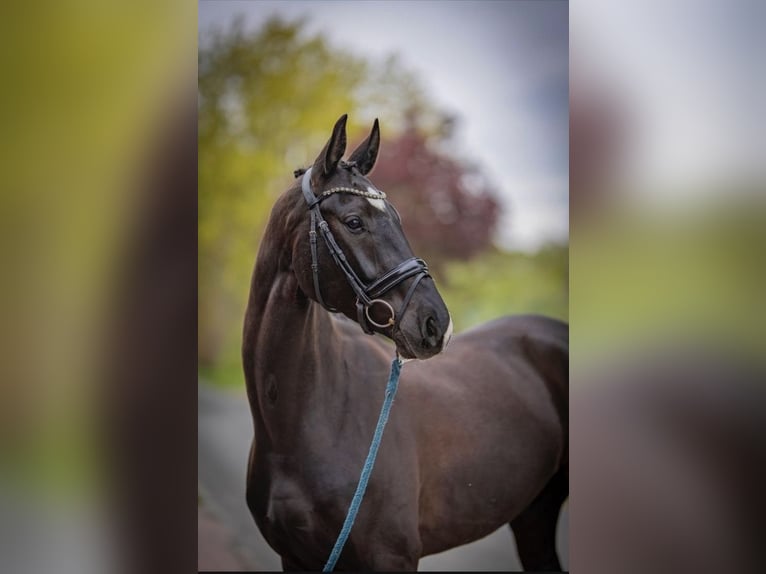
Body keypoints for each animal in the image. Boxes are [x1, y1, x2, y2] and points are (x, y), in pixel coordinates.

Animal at [243, 116, 568, 572]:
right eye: (354, 221)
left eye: (397, 217)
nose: (437, 324)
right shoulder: (294, 559)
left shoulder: (391, 558)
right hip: (533, 513)